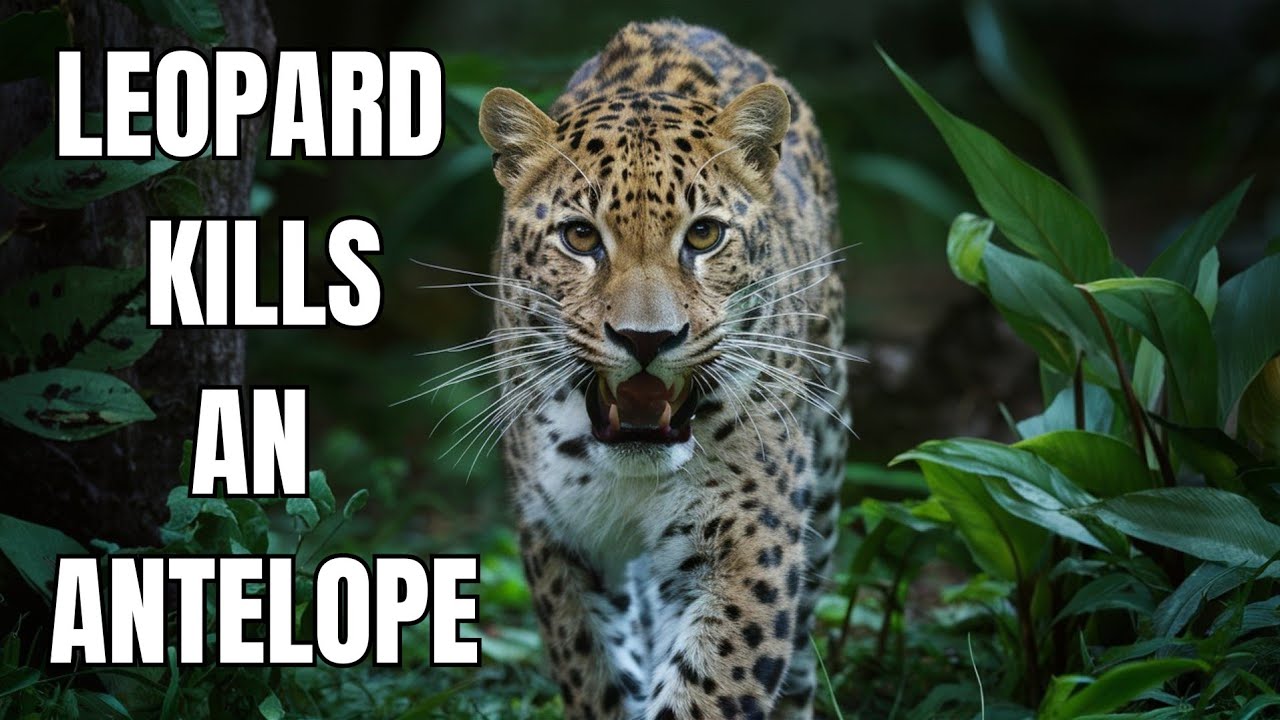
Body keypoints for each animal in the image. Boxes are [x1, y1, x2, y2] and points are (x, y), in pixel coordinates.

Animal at [475, 19, 850, 720]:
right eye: (580, 237)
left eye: (703, 235)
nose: (645, 339)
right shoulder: (559, 536)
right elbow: (592, 672)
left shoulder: (747, 533)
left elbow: (712, 685)